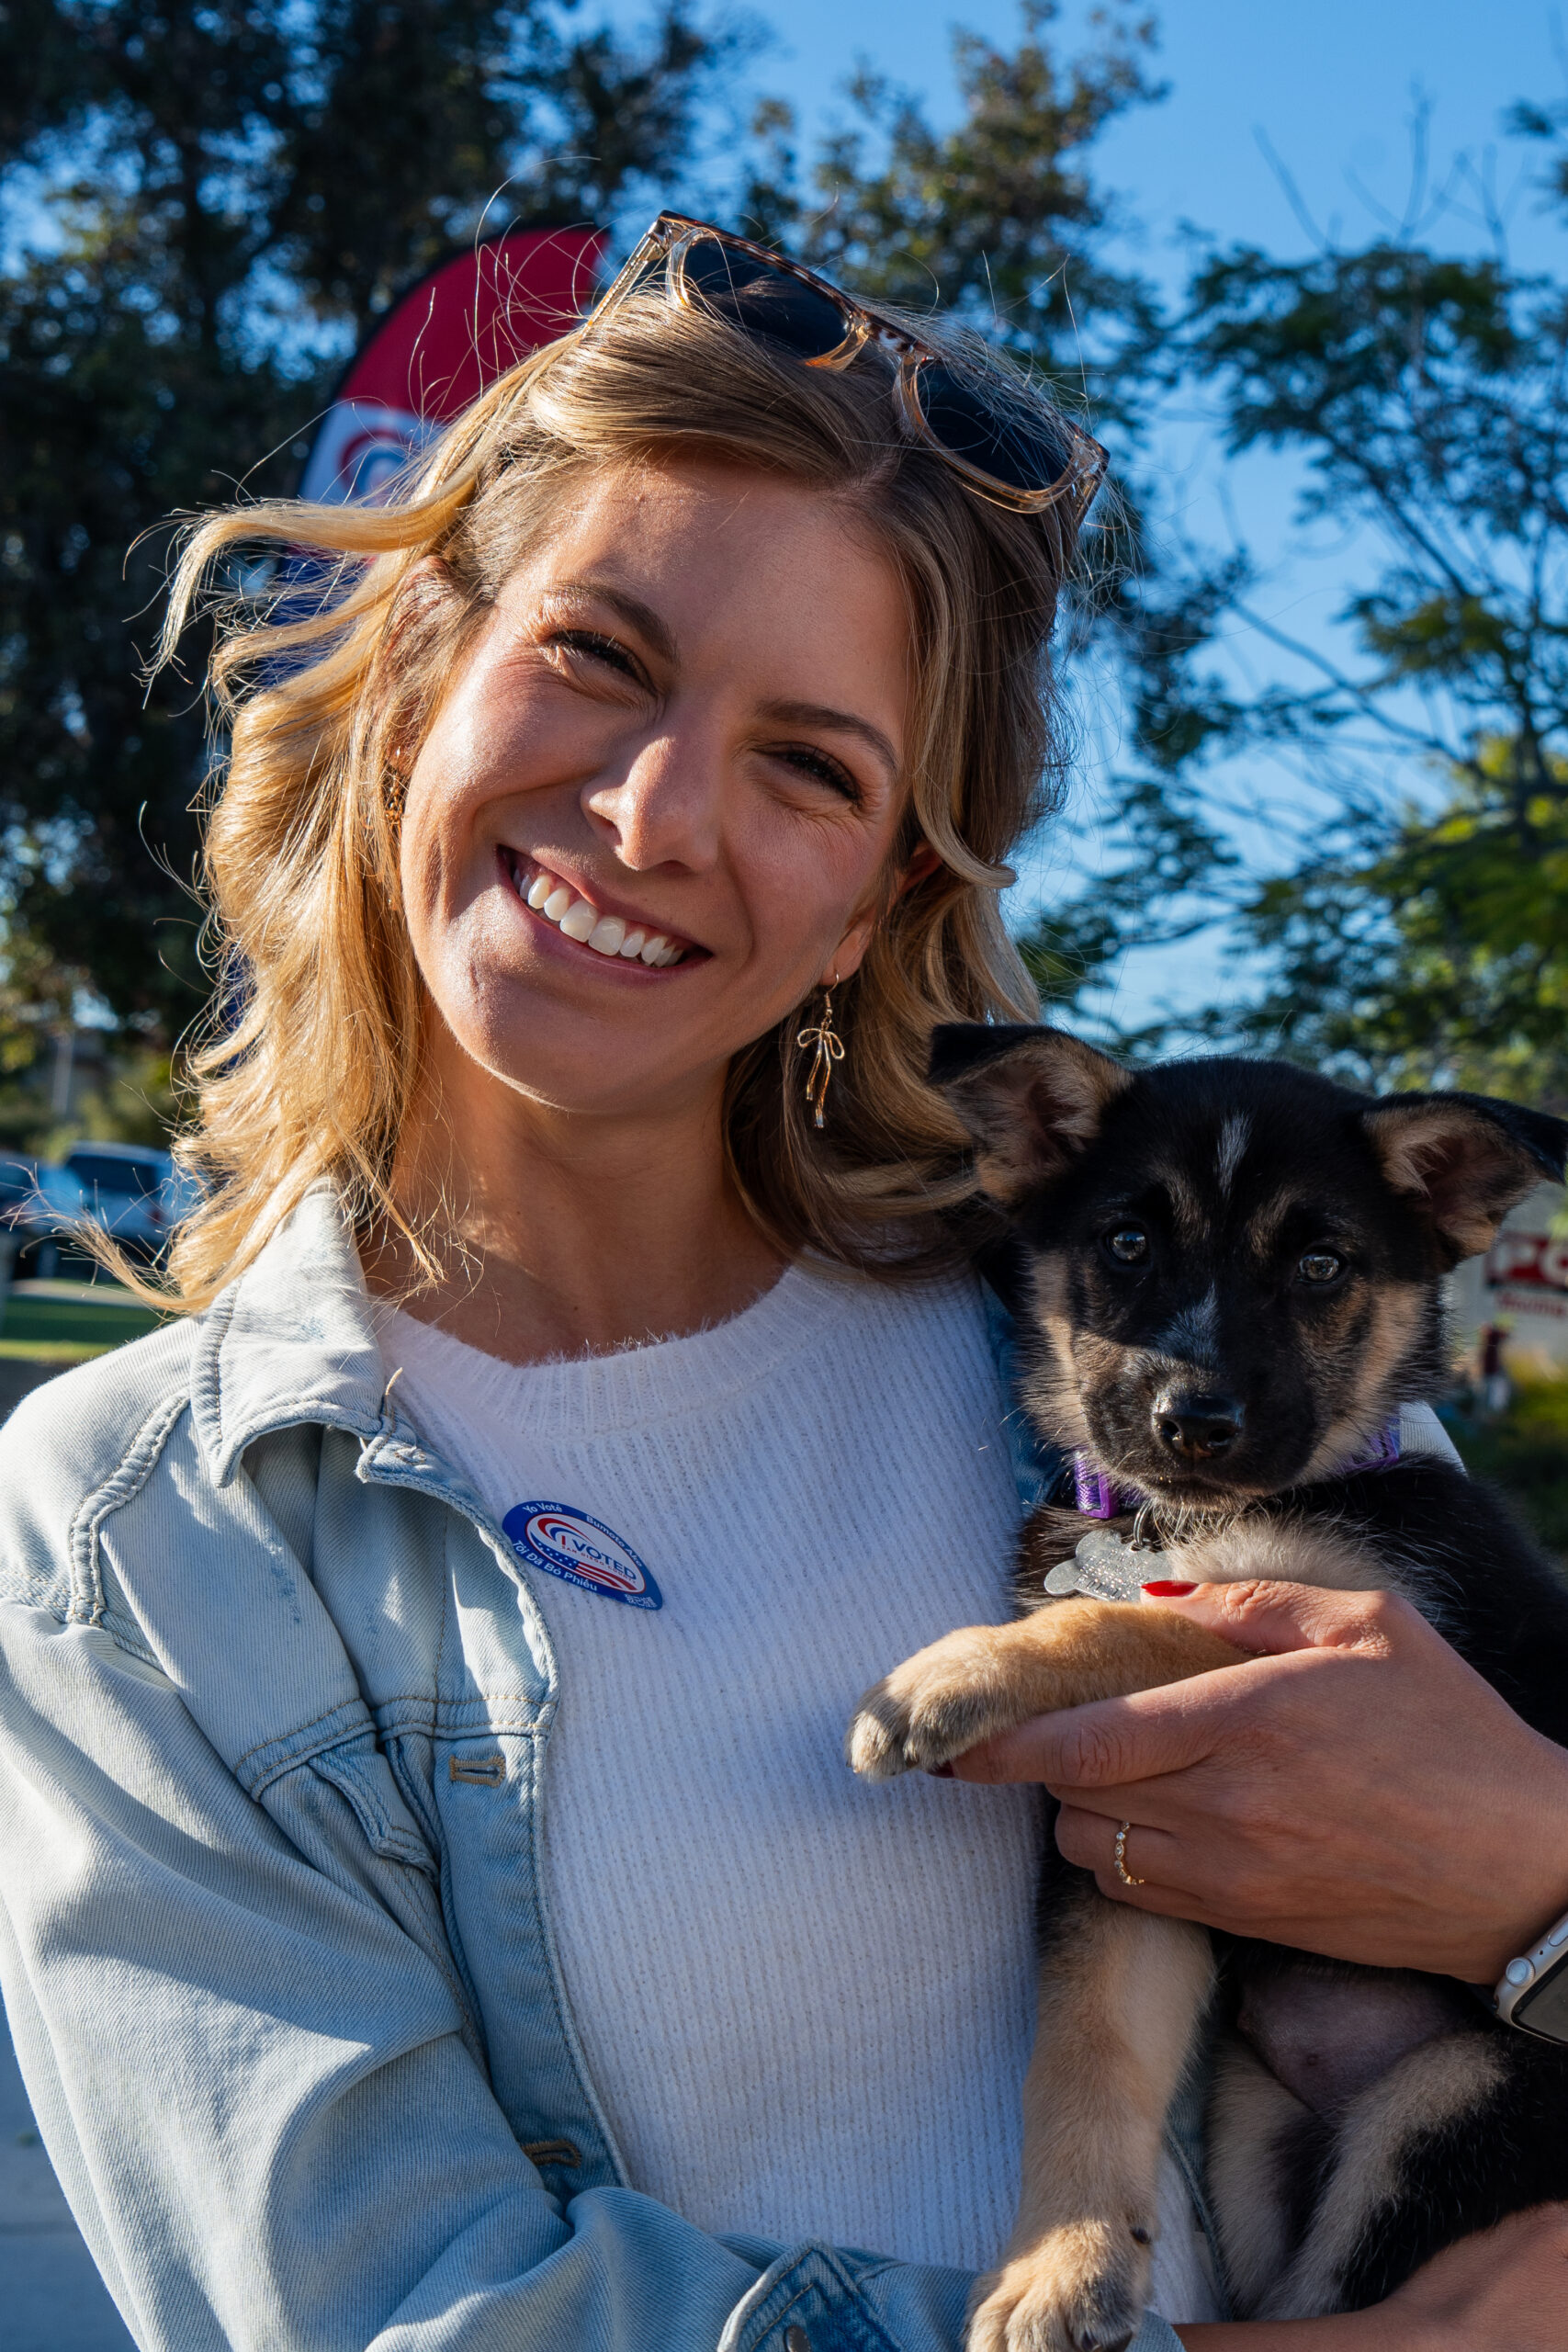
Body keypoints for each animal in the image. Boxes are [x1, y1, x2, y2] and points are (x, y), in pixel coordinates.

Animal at [851, 1039, 1568, 2352]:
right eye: (1129, 1243)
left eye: (1323, 1265)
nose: (1193, 1420)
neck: (1186, 1520)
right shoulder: (1122, 1862)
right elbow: (1088, 2054)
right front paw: (1062, 2268)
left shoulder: (1353, 1643)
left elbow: (1137, 1619)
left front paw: (949, 1673)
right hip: (1257, 2130)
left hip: (1456, 2099)